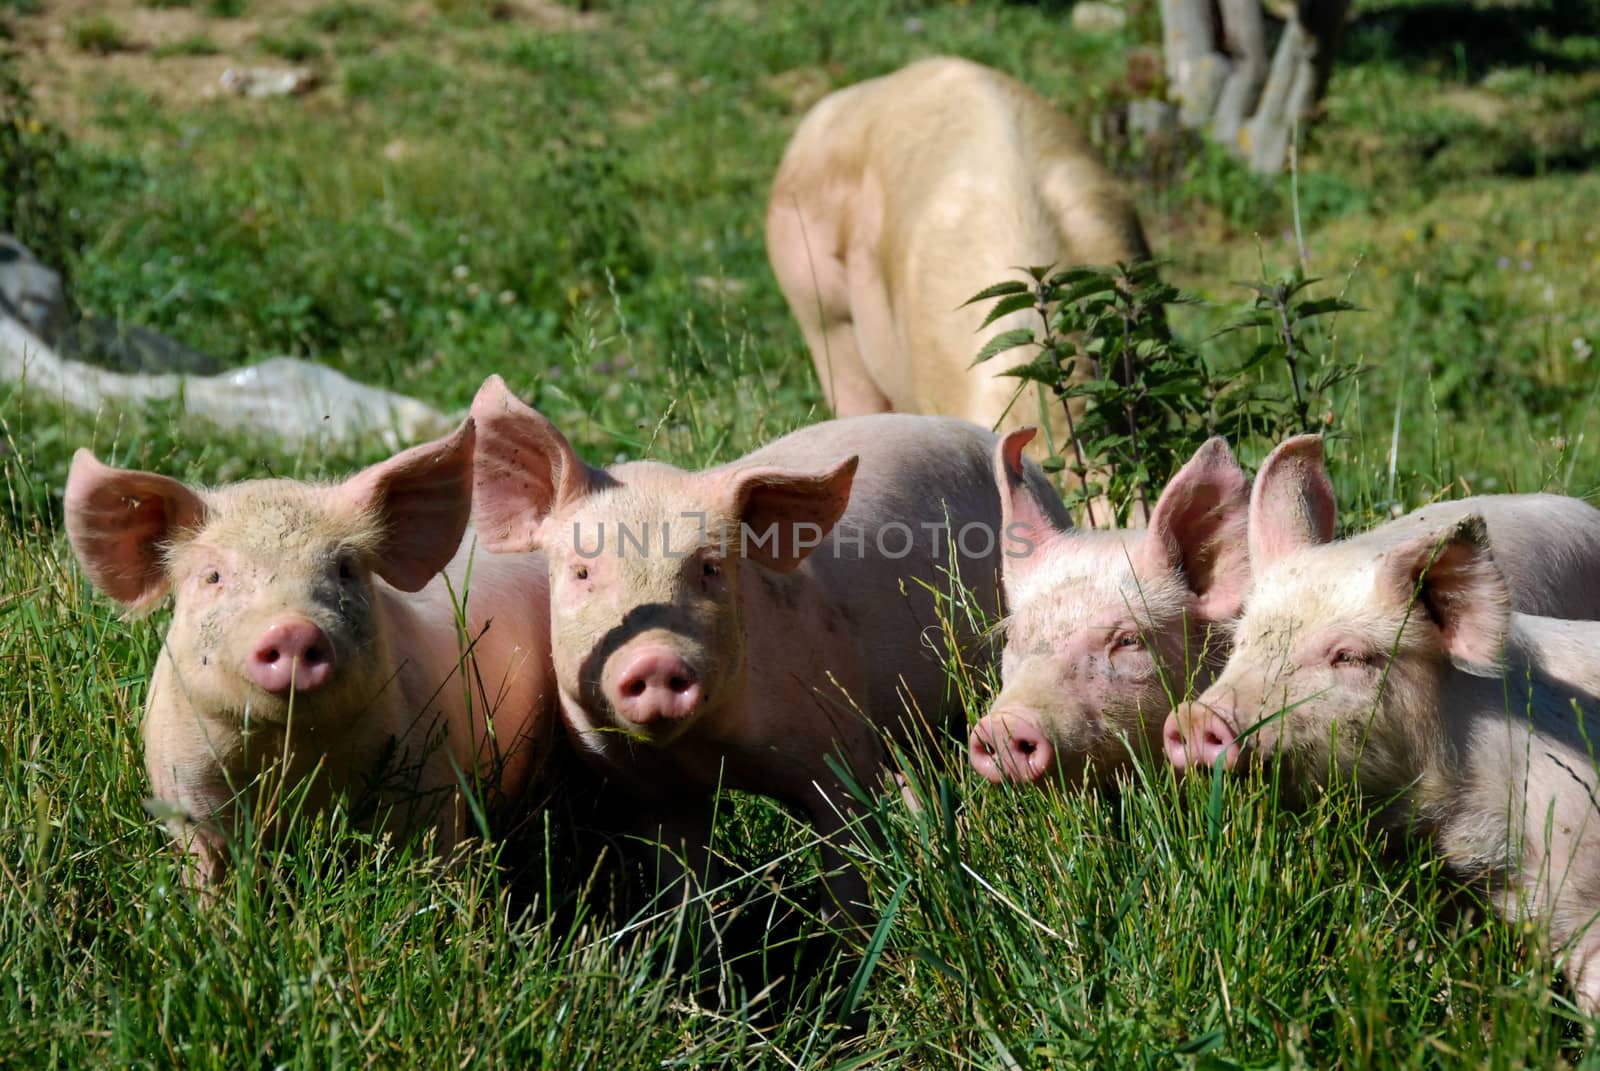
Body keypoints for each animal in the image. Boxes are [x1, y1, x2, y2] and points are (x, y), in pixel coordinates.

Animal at [64, 422, 556, 883]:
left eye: (345, 569)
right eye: (213, 576)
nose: (292, 629)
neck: (290, 752)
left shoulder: (432, 776)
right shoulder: (185, 789)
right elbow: (207, 867)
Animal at [467, 371, 1068, 915]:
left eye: (710, 568)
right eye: (583, 572)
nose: (655, 657)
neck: (710, 751)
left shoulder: (837, 744)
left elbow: (849, 866)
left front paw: (853, 956)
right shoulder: (646, 793)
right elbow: (683, 893)